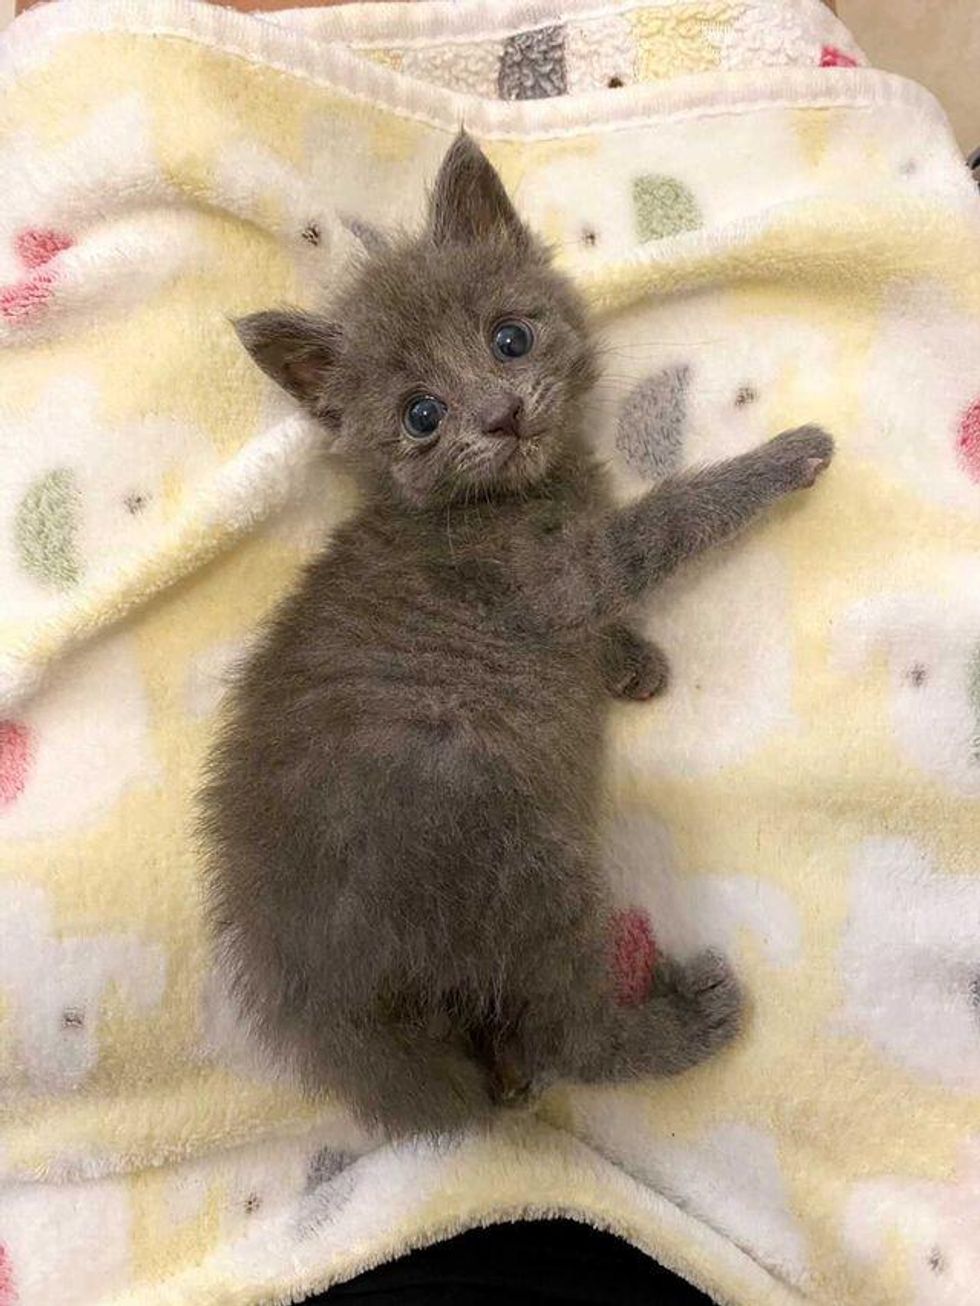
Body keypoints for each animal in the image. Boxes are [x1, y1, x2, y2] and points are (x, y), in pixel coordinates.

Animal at [201, 127, 836, 1138]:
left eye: (511, 338)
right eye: (421, 416)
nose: (501, 416)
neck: (514, 495)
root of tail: (330, 1000)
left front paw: (629, 662)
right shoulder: (554, 578)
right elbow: (666, 521)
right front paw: (783, 458)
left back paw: (514, 1073)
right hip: (514, 855)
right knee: (567, 1023)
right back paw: (683, 1024)